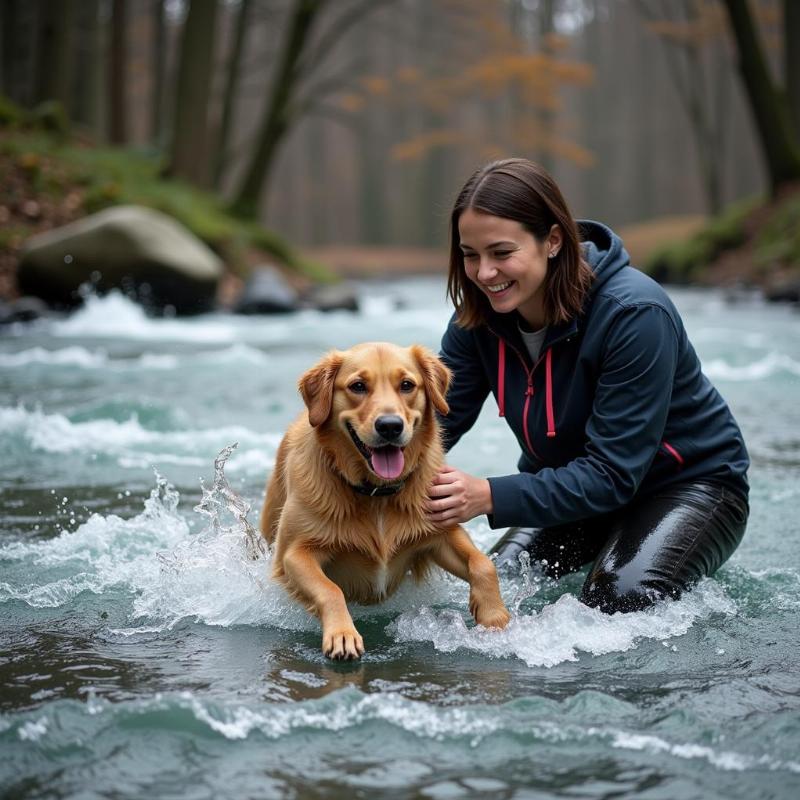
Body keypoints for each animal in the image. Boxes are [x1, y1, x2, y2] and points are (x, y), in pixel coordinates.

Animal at [262, 340, 512, 660]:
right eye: (357, 386)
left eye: (407, 385)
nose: (390, 426)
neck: (377, 493)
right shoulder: (294, 554)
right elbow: (330, 589)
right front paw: (342, 634)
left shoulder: (441, 529)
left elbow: (482, 563)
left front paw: (494, 615)